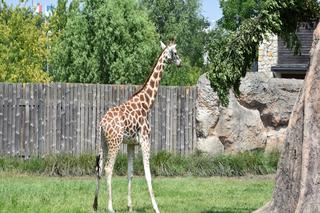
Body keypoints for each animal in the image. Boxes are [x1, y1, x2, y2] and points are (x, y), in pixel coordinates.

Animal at [94, 40, 181, 212]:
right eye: (175, 52)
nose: (180, 63)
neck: (146, 104)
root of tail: (102, 123)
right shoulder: (145, 140)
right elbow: (148, 174)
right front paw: (156, 207)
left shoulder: (131, 144)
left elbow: (130, 173)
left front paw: (129, 206)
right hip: (114, 142)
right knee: (108, 168)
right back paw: (110, 207)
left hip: (103, 142)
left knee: (99, 168)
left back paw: (95, 205)